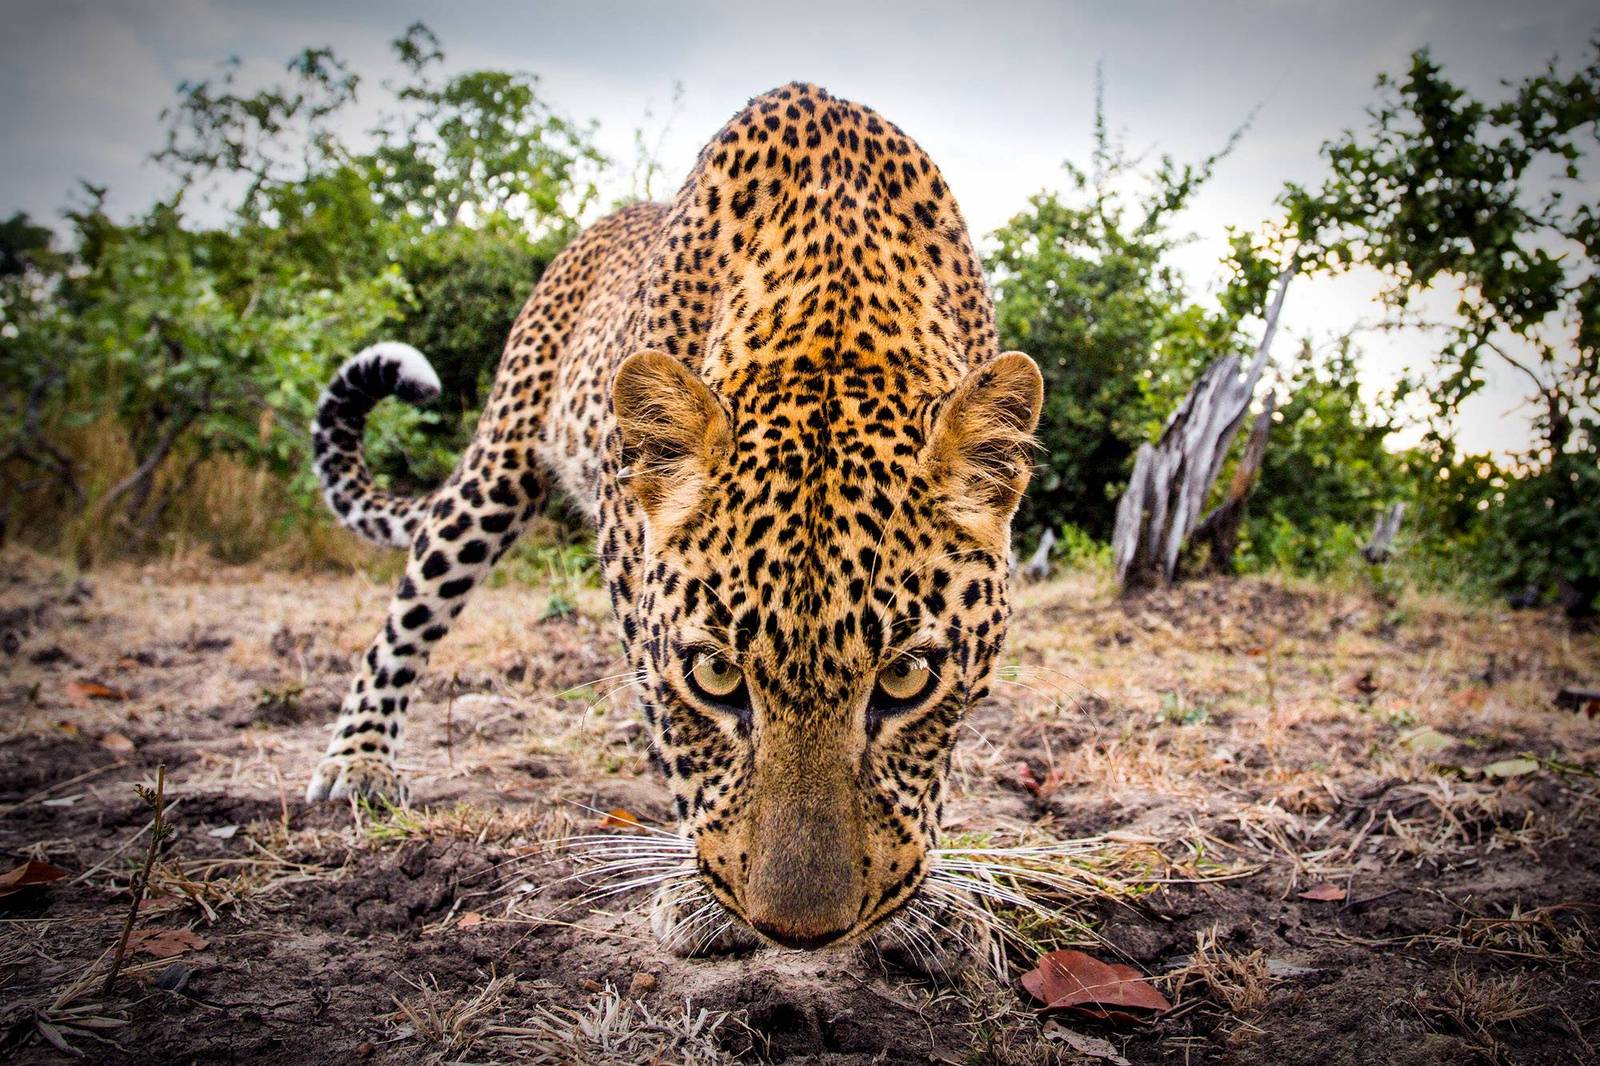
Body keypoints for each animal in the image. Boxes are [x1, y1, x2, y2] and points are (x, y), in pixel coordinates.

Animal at [304, 83, 1043, 953]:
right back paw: (359, 763)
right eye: (716, 676)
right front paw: (696, 898)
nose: (798, 934)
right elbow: (678, 741)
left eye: (906, 680)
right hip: (495, 468)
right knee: (408, 613)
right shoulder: (631, 561)